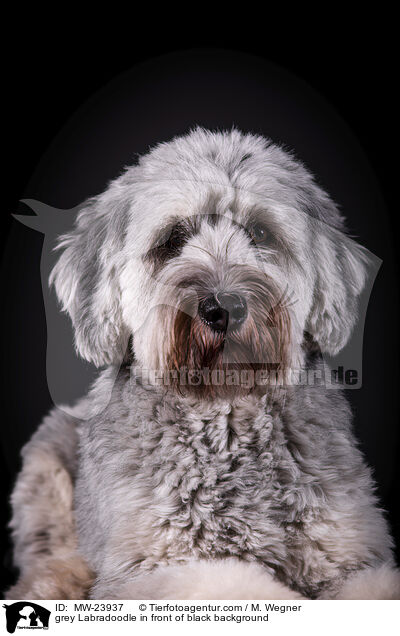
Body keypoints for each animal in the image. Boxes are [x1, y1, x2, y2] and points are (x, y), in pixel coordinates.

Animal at [6, 128, 400, 596]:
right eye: (173, 240)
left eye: (261, 232)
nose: (223, 307)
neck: (225, 415)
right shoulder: (153, 568)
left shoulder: (353, 556)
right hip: (45, 467)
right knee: (47, 557)